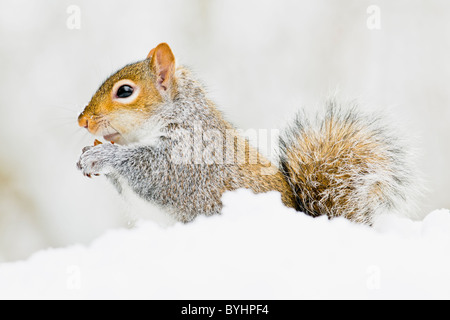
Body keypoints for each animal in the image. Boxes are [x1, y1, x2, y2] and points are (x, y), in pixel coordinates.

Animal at [77, 42, 418, 225]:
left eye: (125, 91)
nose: (83, 121)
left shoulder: (194, 157)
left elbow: (156, 173)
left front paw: (102, 155)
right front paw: (85, 158)